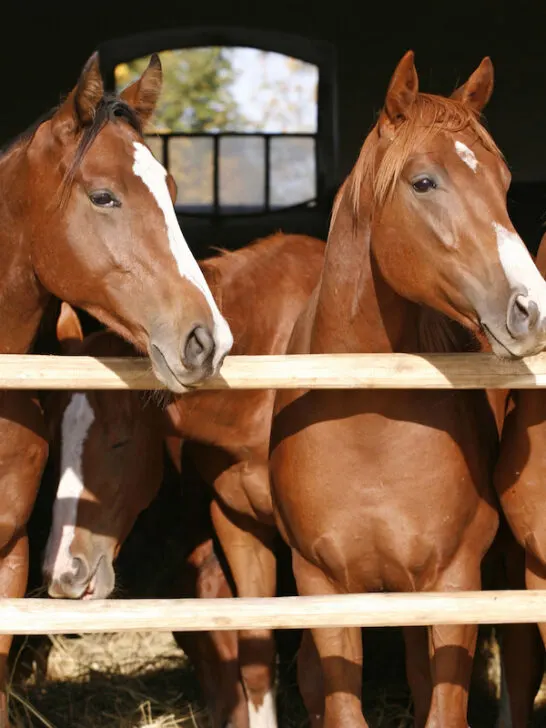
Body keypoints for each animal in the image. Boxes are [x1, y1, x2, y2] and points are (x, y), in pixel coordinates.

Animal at [269, 50, 546, 728]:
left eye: (503, 182)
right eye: (424, 183)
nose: (531, 309)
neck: (368, 423)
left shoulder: (455, 583)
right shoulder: (323, 587)